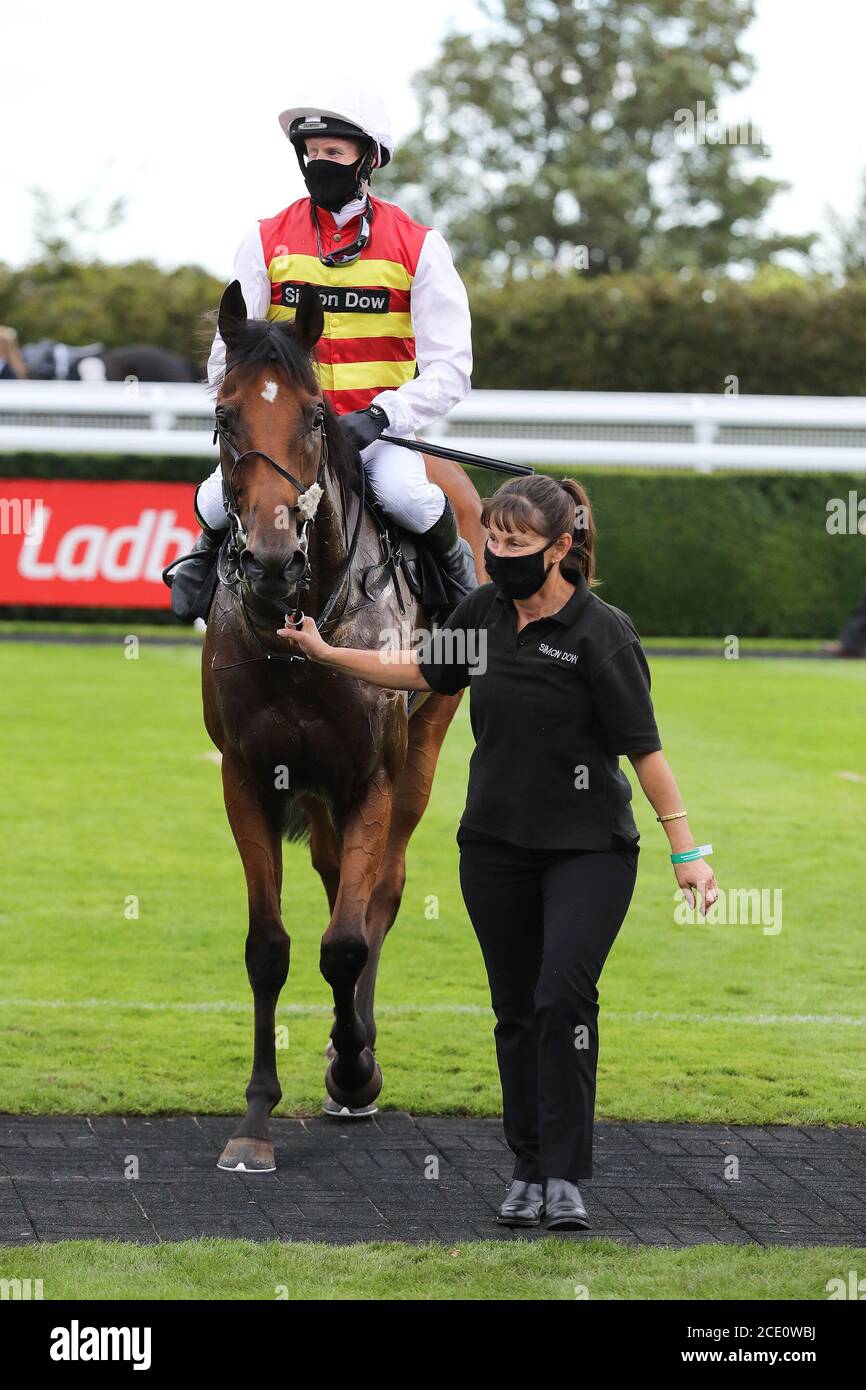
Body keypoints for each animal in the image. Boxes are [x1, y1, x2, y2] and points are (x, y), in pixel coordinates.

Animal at [204, 276, 489, 1167]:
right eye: (225, 413)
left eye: (315, 416)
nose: (268, 559)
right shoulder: (250, 777)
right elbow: (270, 947)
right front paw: (255, 1120)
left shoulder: (371, 777)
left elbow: (348, 940)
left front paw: (356, 1068)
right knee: (340, 880)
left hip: (423, 746)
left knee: (379, 893)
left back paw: (353, 1053)